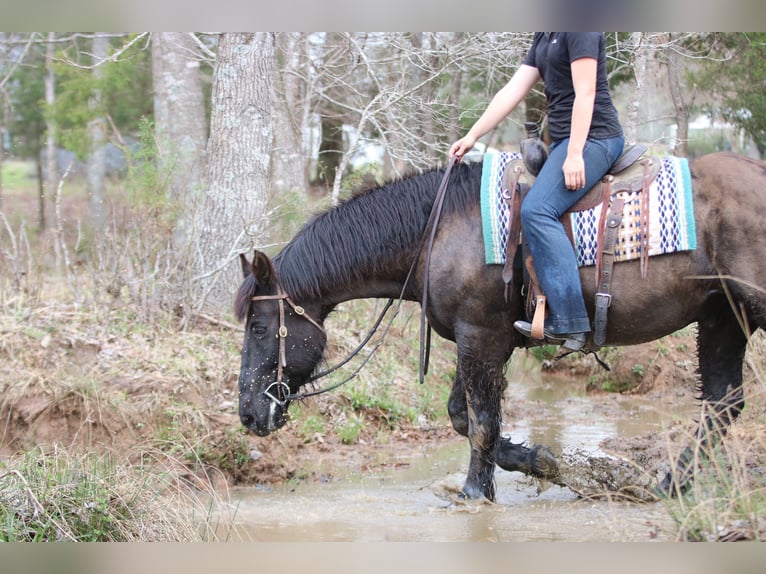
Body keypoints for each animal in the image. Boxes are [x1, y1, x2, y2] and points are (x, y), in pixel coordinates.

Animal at [234, 151, 766, 501]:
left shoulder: (482, 337)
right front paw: (543, 463)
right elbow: (462, 416)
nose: (248, 415)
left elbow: (483, 420)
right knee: (723, 403)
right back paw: (665, 485)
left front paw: (475, 491)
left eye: (259, 327)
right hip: (723, 315)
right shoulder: (475, 340)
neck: (440, 231)